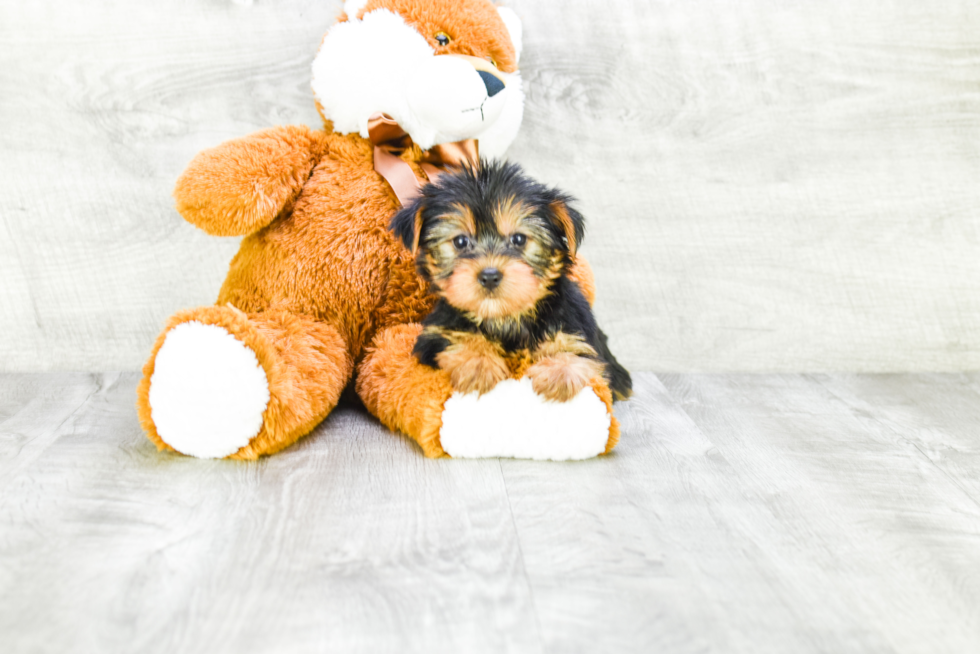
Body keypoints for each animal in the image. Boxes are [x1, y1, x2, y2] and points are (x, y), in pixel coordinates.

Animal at [392, 161, 636, 402]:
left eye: (519, 239)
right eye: (460, 242)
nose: (490, 276)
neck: (506, 319)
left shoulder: (577, 327)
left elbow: (579, 353)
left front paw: (559, 371)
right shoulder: (435, 334)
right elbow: (455, 338)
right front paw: (477, 363)